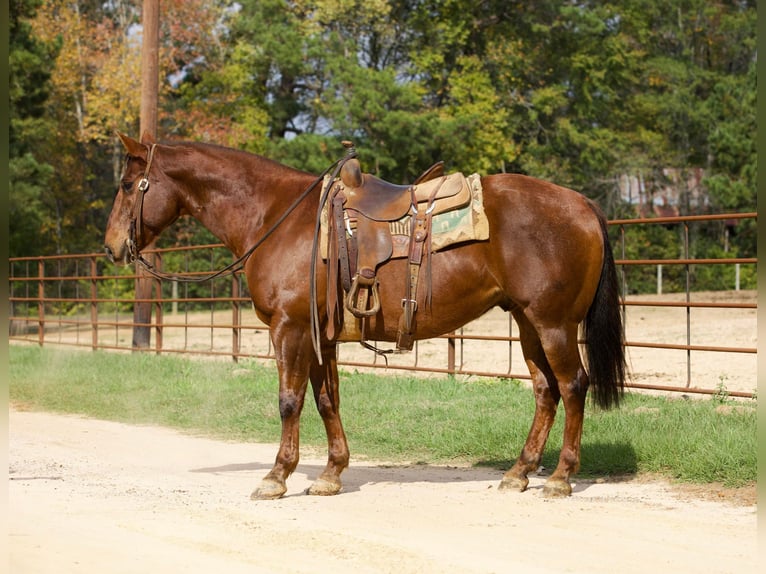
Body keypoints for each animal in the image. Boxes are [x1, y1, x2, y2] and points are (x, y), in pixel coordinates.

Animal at [103, 130, 632, 500]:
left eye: (128, 184)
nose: (110, 247)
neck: (277, 217)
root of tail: (583, 204)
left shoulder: (291, 330)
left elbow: (289, 401)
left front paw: (277, 476)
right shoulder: (321, 336)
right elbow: (327, 401)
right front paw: (331, 474)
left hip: (553, 324)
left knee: (572, 387)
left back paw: (559, 478)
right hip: (526, 323)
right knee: (545, 391)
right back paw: (518, 473)